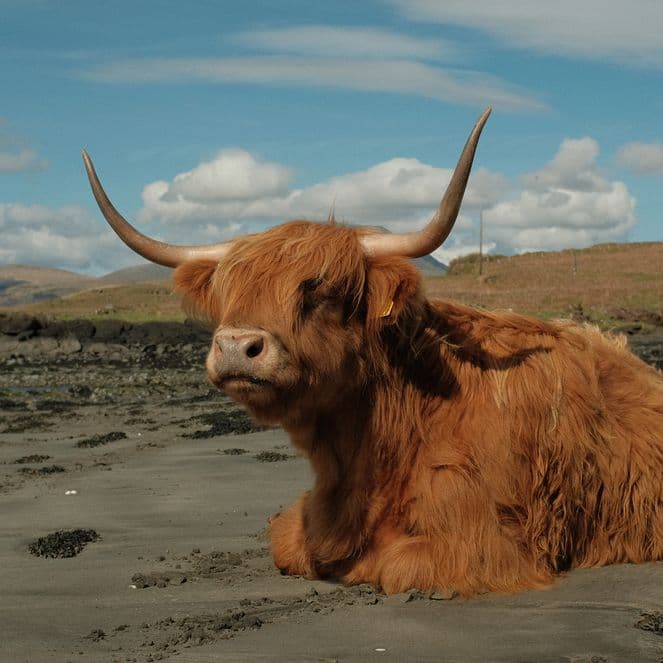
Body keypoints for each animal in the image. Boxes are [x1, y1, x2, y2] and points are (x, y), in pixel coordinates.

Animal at [82, 108, 663, 597]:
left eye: (320, 291)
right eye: (229, 292)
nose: (235, 348)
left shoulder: (482, 545)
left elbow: (393, 564)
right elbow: (287, 544)